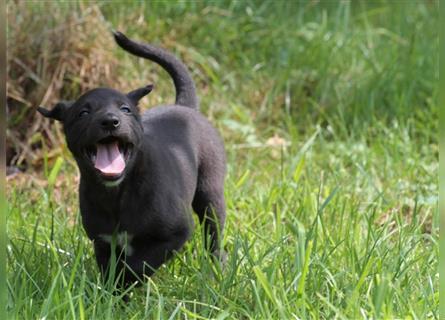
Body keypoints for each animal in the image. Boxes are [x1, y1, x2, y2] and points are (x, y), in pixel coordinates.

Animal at [37, 30, 225, 284]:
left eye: (125, 109)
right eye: (83, 113)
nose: (110, 121)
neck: (117, 194)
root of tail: (186, 108)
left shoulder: (175, 233)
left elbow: (138, 266)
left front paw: (125, 283)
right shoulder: (103, 242)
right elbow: (111, 270)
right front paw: (110, 293)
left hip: (210, 193)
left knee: (214, 235)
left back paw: (218, 271)